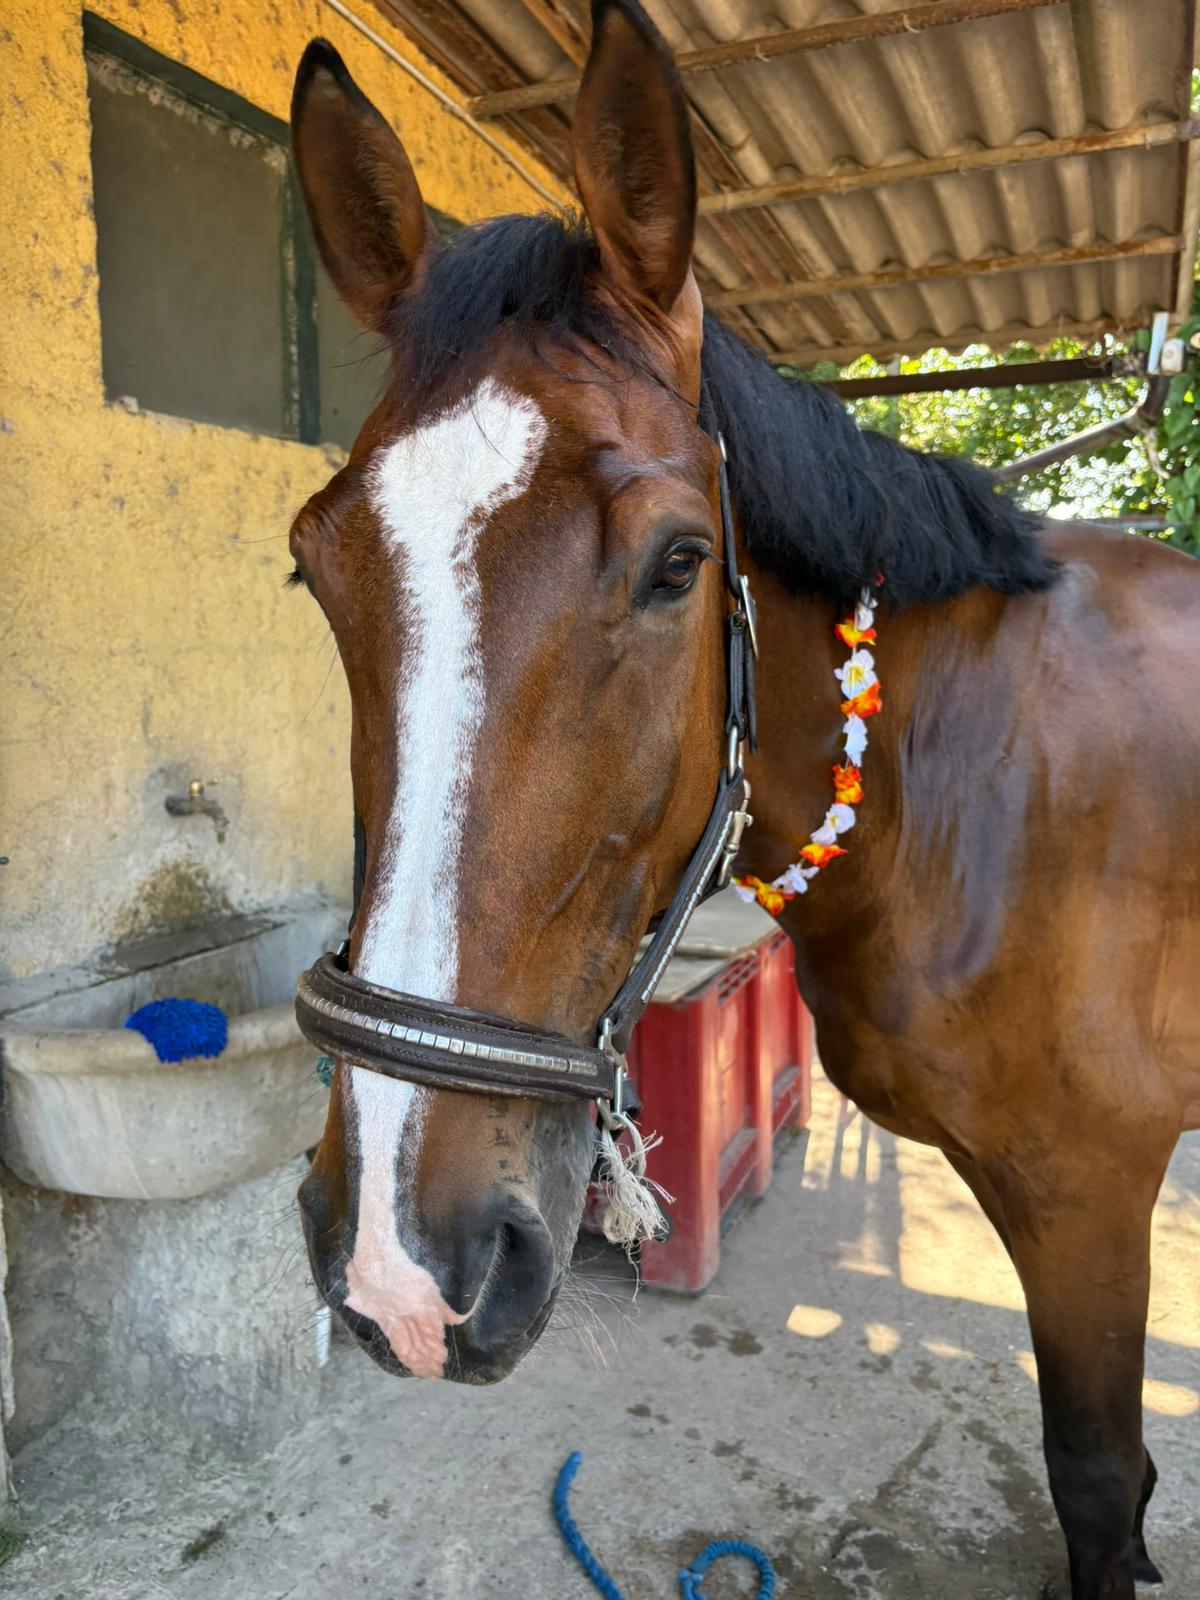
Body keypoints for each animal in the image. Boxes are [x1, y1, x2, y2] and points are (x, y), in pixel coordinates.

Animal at [285, 5, 1199, 1596]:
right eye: (312, 566)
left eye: (676, 563)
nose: (403, 1267)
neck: (962, 788)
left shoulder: (1093, 1186)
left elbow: (1098, 1476)